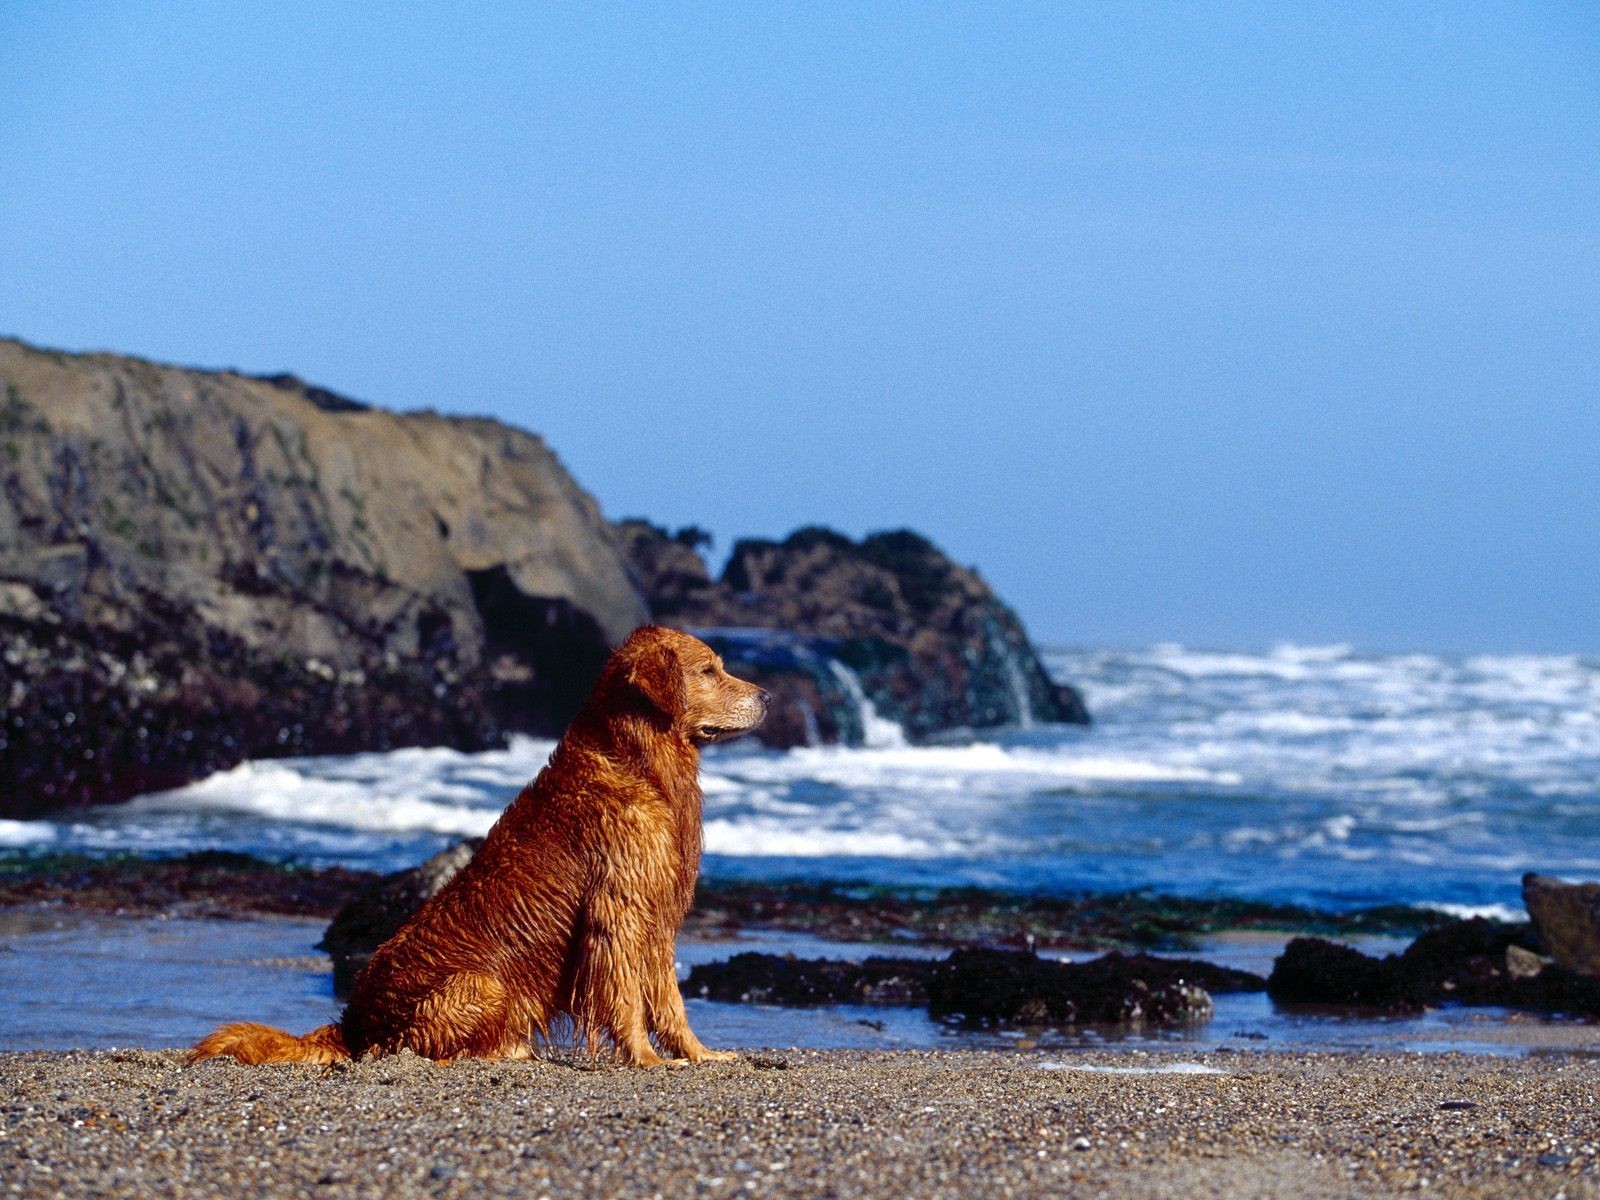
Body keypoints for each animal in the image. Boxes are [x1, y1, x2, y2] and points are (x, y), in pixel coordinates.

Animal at [193, 624, 768, 1068]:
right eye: (709, 670)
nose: (766, 697)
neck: (637, 762)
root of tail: (351, 1024)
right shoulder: (618, 908)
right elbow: (625, 995)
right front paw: (647, 1060)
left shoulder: (657, 912)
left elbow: (669, 1000)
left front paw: (700, 1053)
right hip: (482, 985)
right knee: (411, 1048)